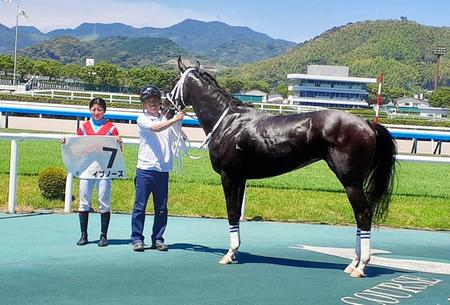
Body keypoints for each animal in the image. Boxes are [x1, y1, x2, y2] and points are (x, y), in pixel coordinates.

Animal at [171, 58, 396, 276]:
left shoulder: (229, 176)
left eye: (175, 81)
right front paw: (234, 253)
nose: (167, 102)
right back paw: (353, 263)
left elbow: (232, 213)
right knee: (360, 217)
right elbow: (235, 213)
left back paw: (361, 266)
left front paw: (229, 254)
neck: (228, 123)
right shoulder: (241, 178)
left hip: (351, 182)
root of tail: (367, 123)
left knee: (363, 215)